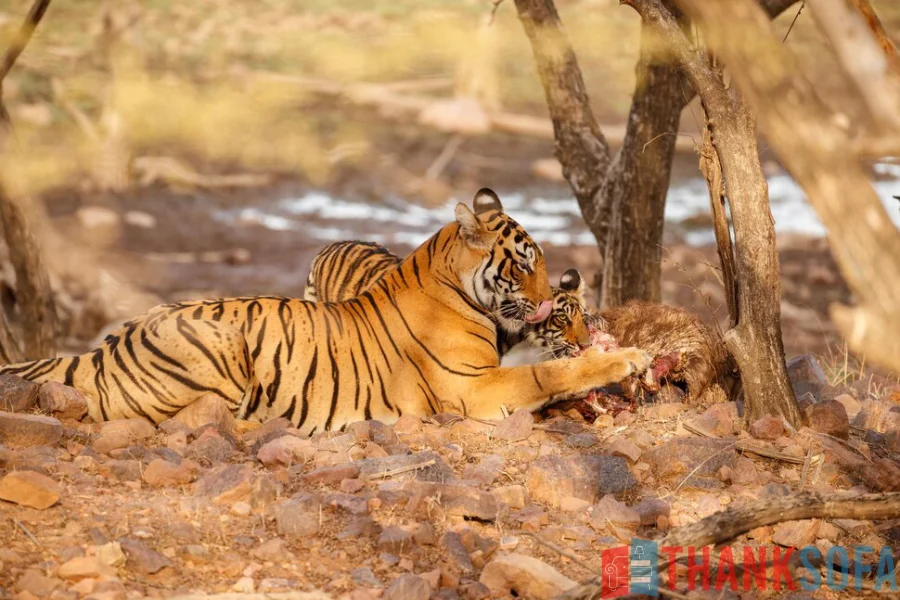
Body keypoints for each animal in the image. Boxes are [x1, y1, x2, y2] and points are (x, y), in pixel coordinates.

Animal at [0, 189, 648, 432]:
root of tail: (106, 347)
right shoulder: (473, 387)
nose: (545, 301)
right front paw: (627, 359)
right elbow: (550, 372)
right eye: (523, 262)